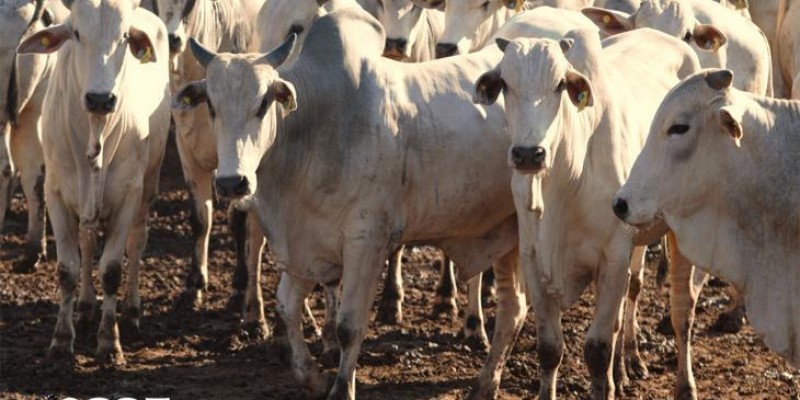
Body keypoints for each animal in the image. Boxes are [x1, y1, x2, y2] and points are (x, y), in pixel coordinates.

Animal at [18, 0, 170, 366]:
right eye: (76, 33)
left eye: (125, 35)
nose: (101, 99)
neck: (94, 131)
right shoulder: (56, 193)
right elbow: (67, 268)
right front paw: (61, 339)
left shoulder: (129, 195)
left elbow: (112, 269)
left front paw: (109, 343)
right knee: (87, 245)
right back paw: (86, 308)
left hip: (149, 183)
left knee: (138, 241)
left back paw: (131, 312)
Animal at [476, 26, 700, 398]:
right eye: (505, 83)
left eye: (559, 85)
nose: (528, 154)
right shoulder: (534, 260)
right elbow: (550, 349)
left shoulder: (612, 260)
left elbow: (597, 351)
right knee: (630, 300)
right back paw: (625, 367)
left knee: (681, 311)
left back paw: (683, 384)